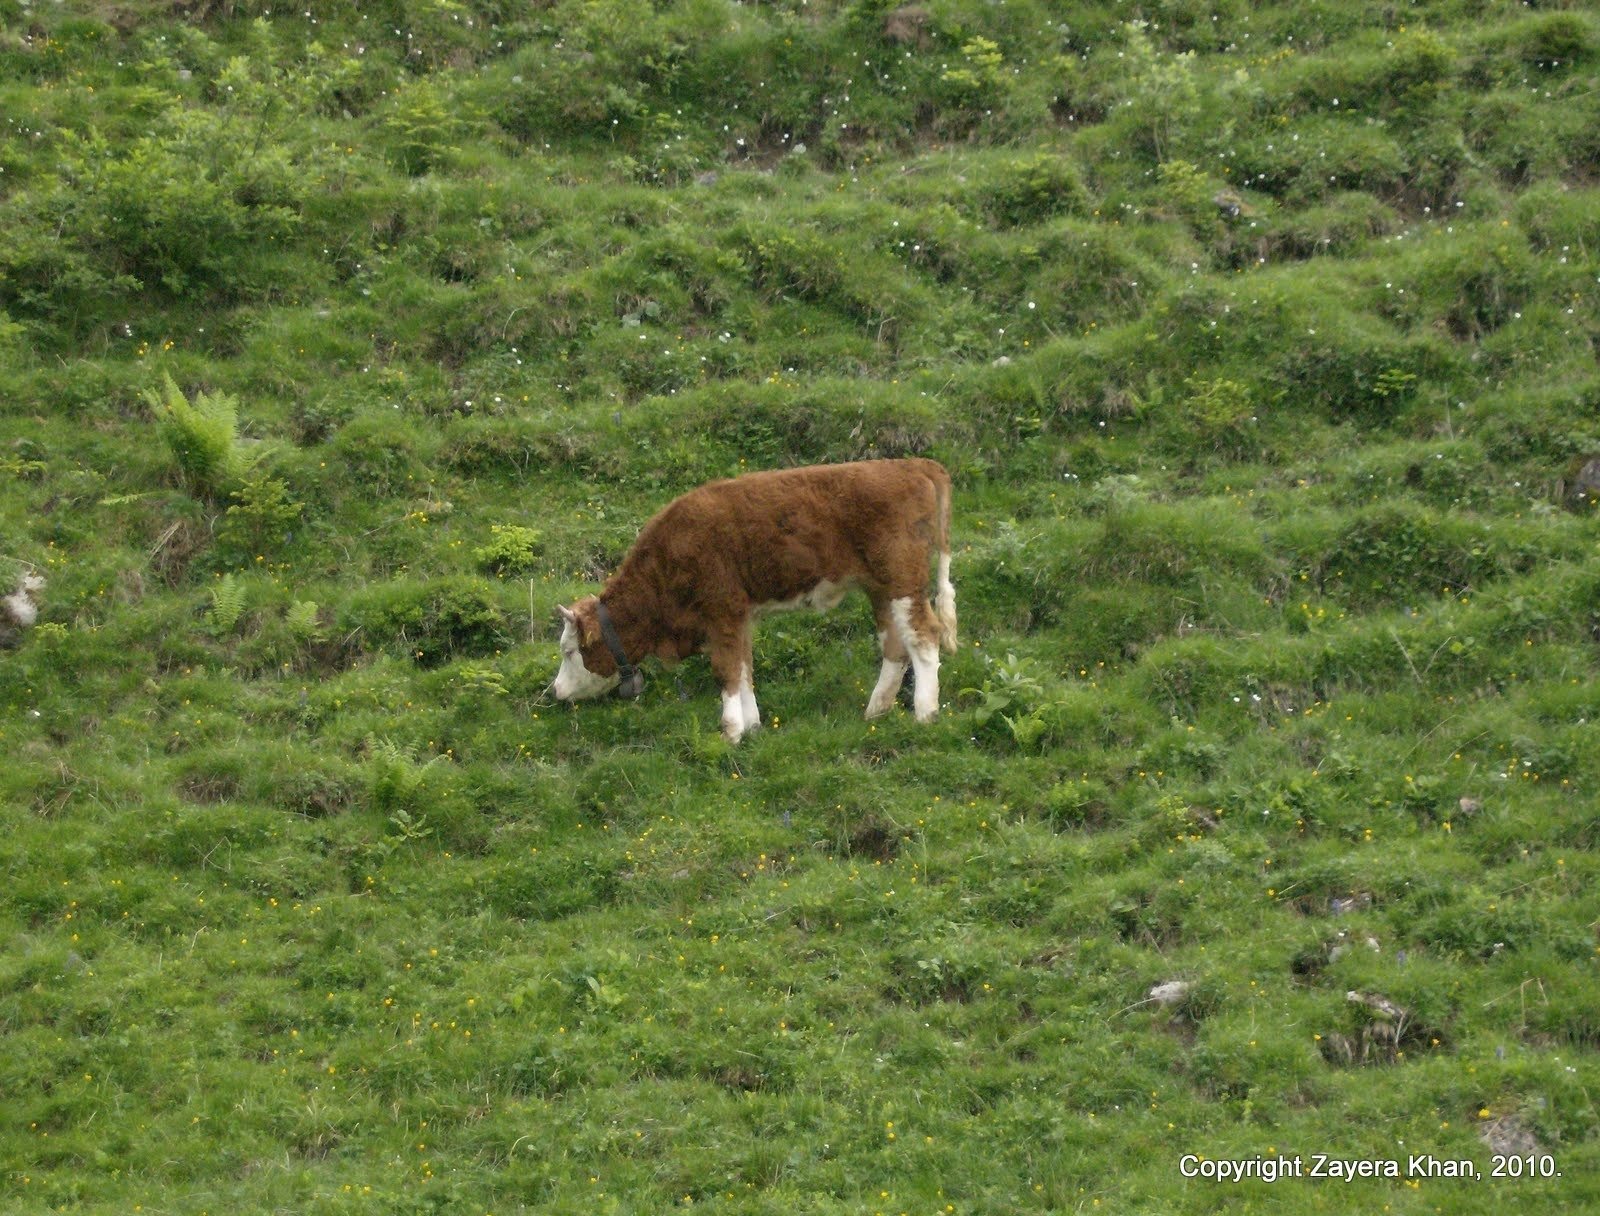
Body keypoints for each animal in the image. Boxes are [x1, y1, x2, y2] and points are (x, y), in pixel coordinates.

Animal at [551, 458, 957, 742]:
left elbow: (726, 670)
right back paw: (876, 710)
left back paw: (925, 713)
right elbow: (744, 667)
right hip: (880, 587)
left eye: (570, 650)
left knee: (924, 635)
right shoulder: (739, 616)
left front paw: (730, 732)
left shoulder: (721, 610)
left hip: (903, 578)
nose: (555, 691)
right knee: (895, 644)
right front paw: (753, 726)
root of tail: (913, 464)